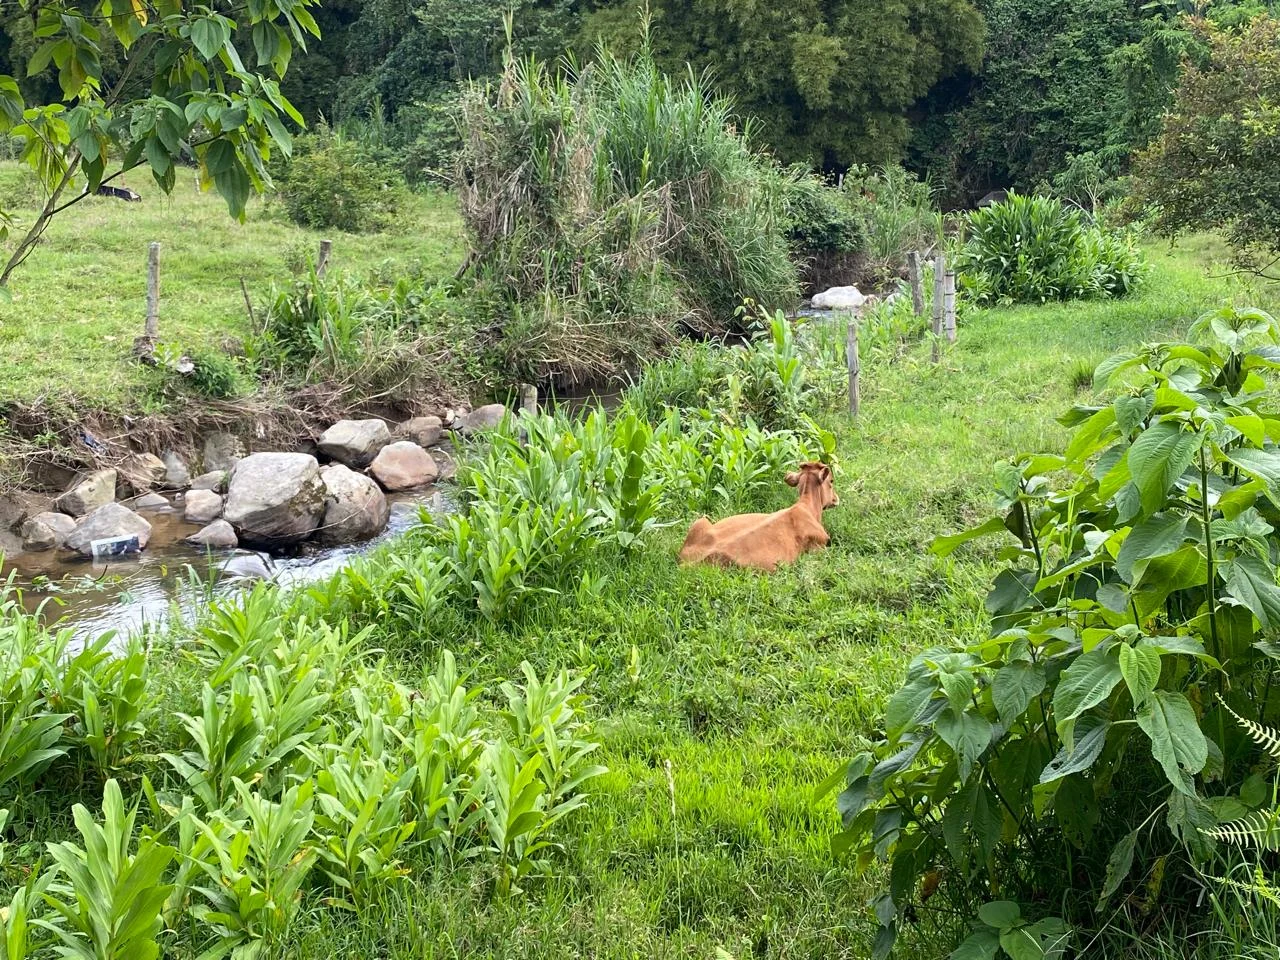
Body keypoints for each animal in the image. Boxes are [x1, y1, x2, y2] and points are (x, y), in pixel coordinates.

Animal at [678, 462, 839, 572]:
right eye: (831, 481)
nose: (836, 498)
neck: (808, 508)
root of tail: (687, 560)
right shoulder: (820, 546)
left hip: (700, 521)